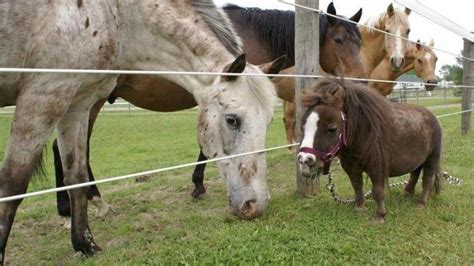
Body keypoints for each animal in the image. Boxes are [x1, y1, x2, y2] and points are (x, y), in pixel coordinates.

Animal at [0, 0, 284, 262]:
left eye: (269, 120)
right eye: (232, 120)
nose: (255, 204)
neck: (117, 15)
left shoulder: (78, 102)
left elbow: (76, 175)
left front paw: (85, 245)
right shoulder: (45, 95)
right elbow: (12, 185)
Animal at [52, 2, 366, 218]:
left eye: (360, 41)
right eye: (339, 39)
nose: (360, 78)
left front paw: (198, 185)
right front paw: (198, 186)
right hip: (88, 103)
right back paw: (89, 203)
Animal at [298, 79, 442, 224]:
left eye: (332, 128)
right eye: (302, 127)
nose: (305, 161)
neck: (363, 135)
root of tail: (431, 116)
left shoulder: (377, 169)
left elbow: (377, 191)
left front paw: (379, 216)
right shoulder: (351, 168)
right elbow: (357, 187)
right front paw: (360, 208)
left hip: (431, 158)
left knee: (427, 180)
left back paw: (421, 203)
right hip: (418, 160)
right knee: (414, 174)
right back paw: (407, 194)